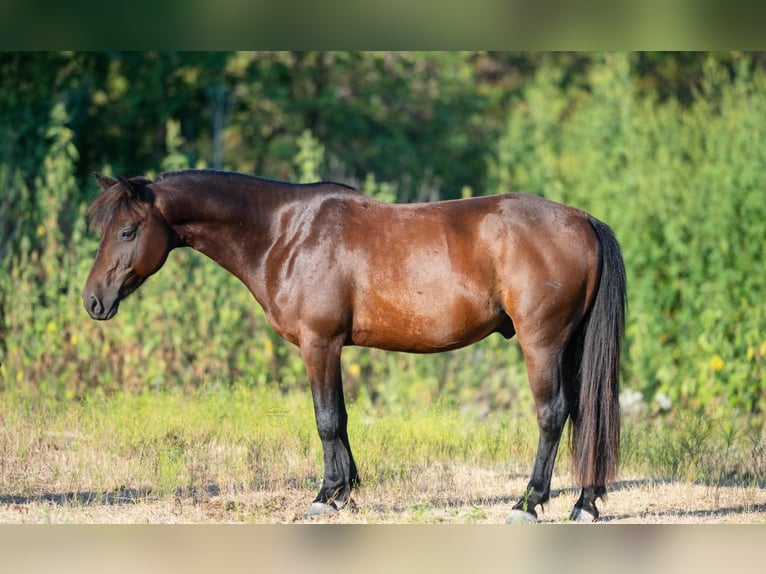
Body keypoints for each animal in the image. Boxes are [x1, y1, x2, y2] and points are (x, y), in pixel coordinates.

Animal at [82, 169, 626, 523]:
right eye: (100, 229)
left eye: (127, 230)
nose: (93, 301)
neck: (286, 234)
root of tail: (581, 219)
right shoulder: (331, 346)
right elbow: (340, 418)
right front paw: (345, 492)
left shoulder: (318, 344)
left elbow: (326, 419)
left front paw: (325, 496)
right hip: (570, 345)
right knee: (585, 412)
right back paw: (585, 503)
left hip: (542, 343)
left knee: (553, 414)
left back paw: (528, 503)